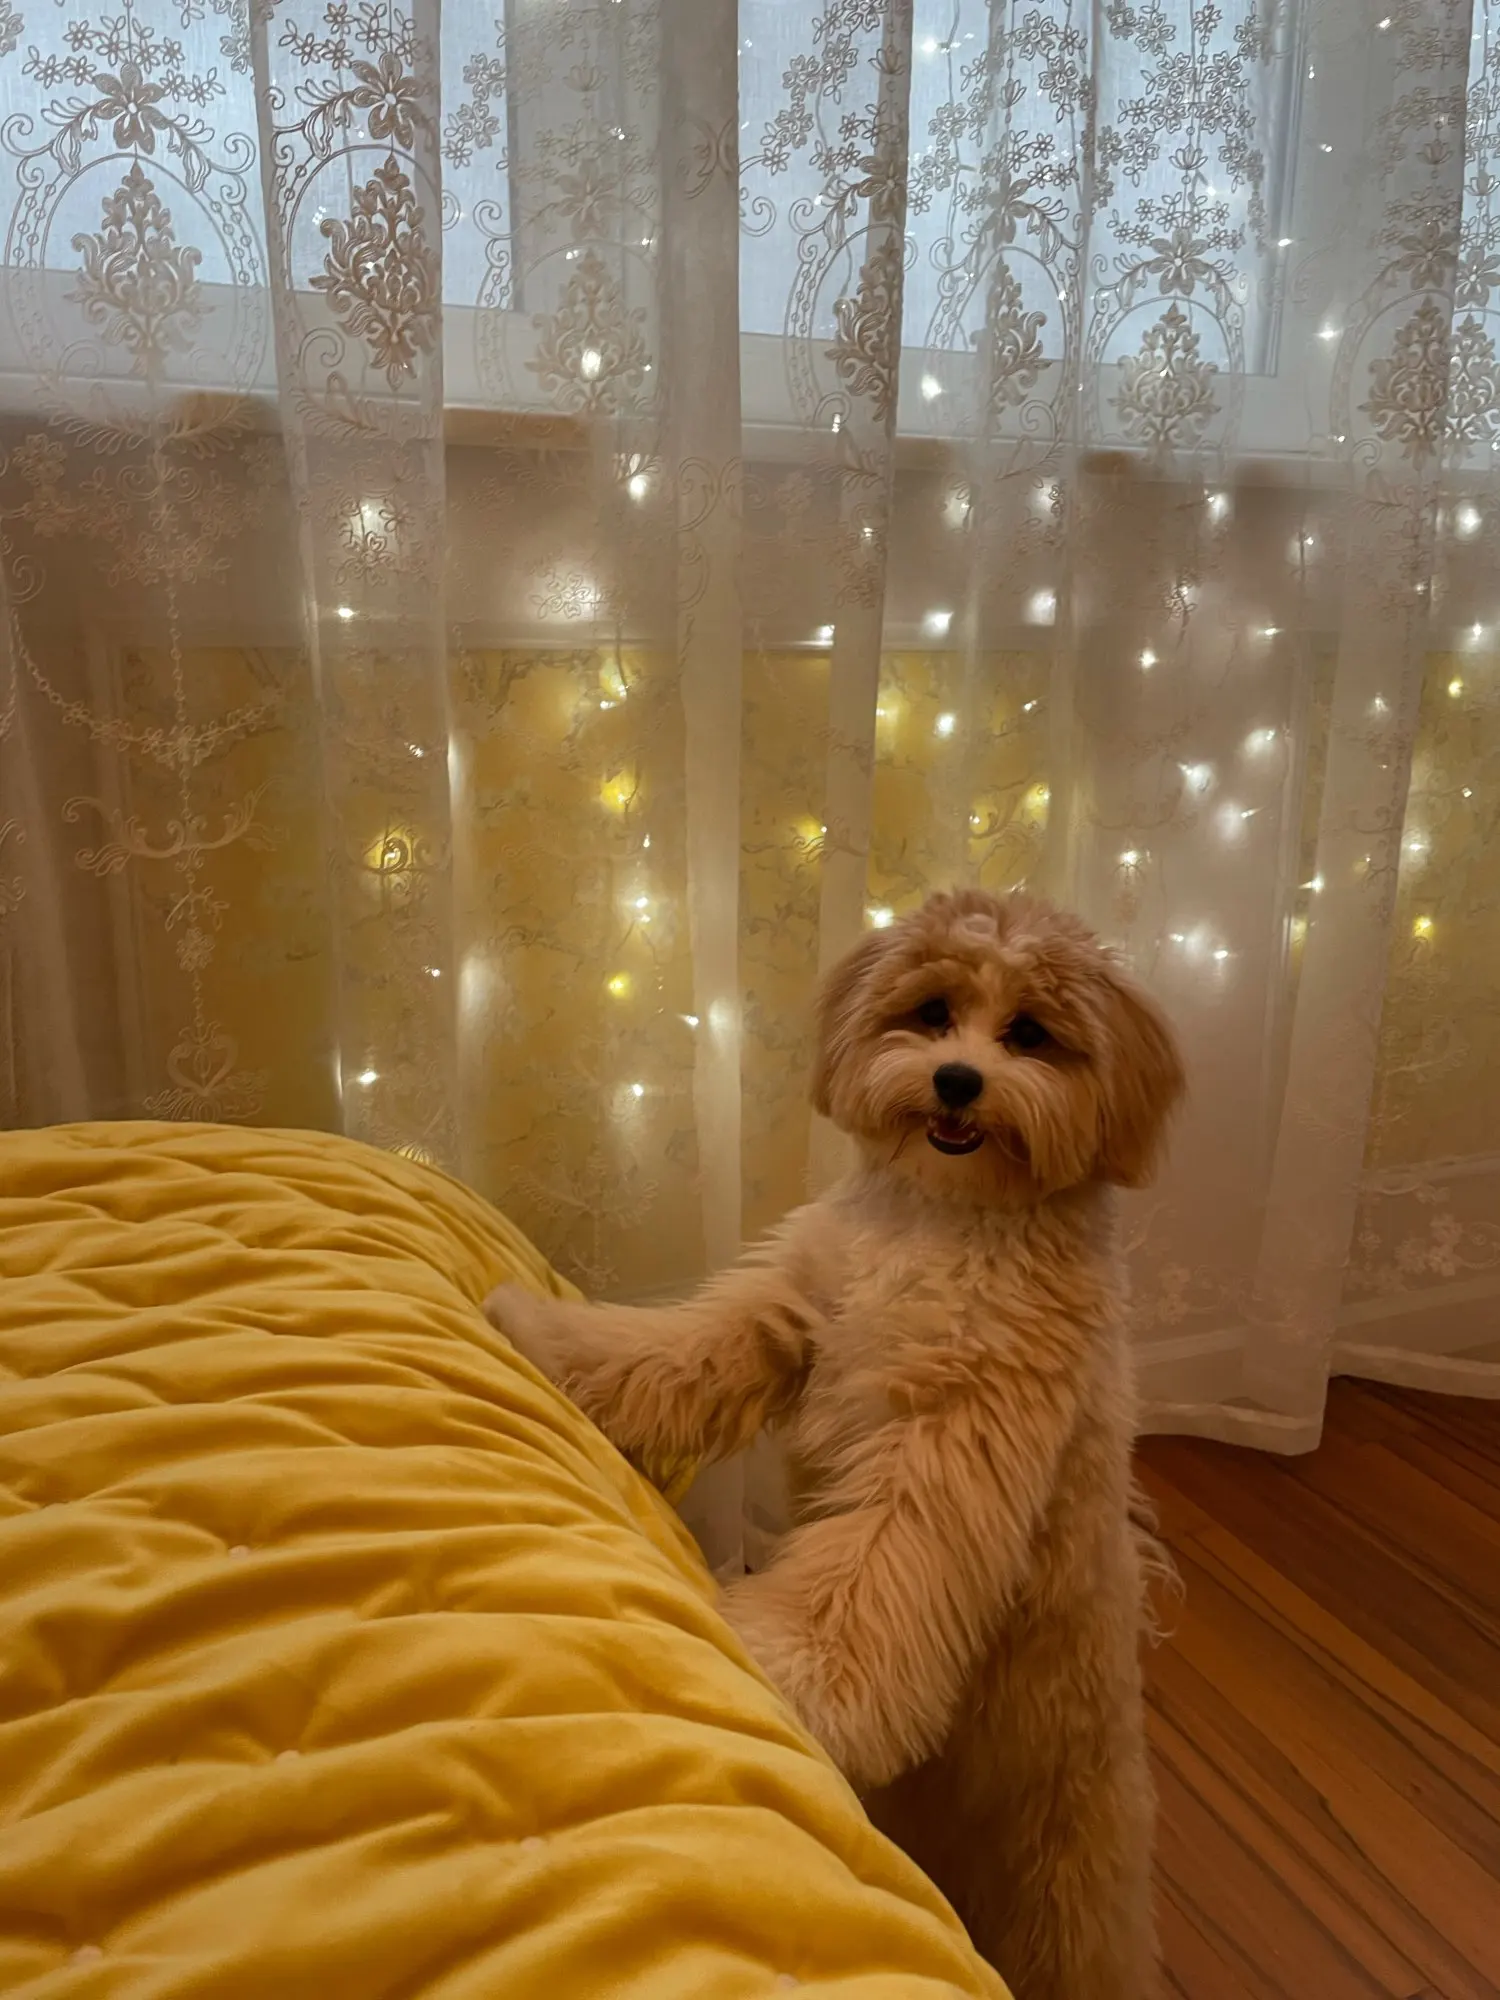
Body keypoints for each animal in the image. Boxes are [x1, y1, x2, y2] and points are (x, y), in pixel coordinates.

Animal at [484, 887, 1184, 1999]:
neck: (945, 1222)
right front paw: (543, 1336)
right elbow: (673, 1351)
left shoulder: (950, 1437)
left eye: (1031, 1034)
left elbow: (876, 1569)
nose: (956, 1079)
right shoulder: (792, 1314)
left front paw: (787, 1674)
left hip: (1058, 1878)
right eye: (933, 1012)